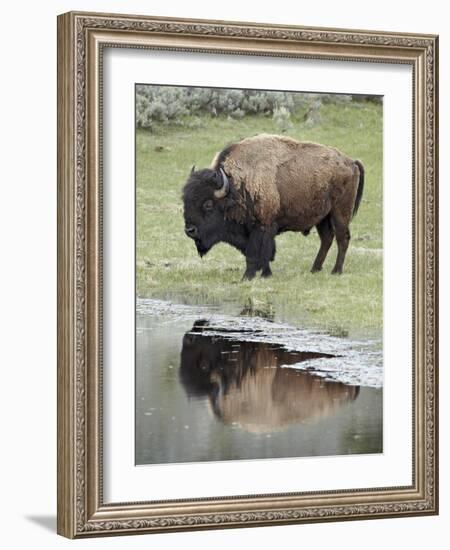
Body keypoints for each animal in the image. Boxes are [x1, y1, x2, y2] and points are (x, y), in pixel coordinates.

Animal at [181, 134, 364, 280]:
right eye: (185, 201)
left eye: (208, 204)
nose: (189, 230)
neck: (235, 187)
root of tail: (351, 162)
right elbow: (265, 254)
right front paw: (265, 274)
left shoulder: (262, 226)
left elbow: (256, 253)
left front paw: (248, 277)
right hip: (323, 217)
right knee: (327, 238)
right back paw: (314, 269)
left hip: (340, 213)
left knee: (342, 238)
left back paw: (336, 271)